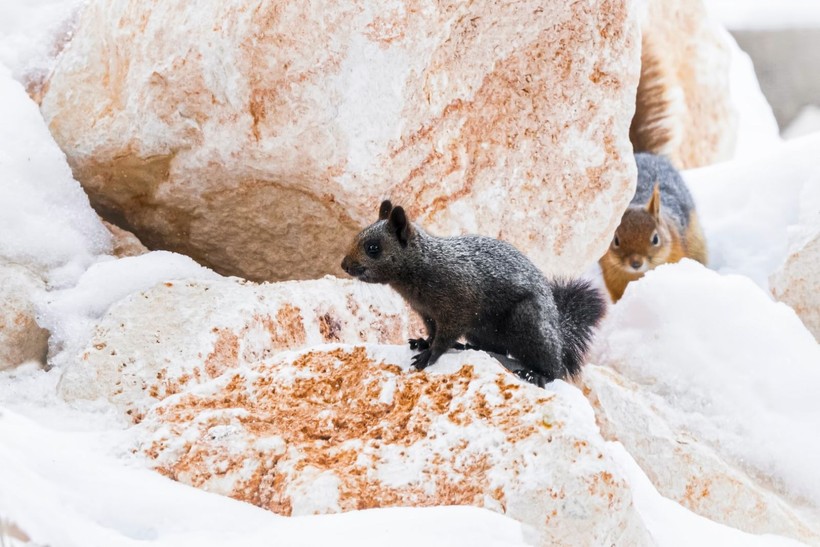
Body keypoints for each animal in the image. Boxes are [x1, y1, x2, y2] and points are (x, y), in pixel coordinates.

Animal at [340, 200, 604, 386]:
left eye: (373, 248)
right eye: (355, 237)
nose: (344, 265)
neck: (424, 266)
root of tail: (559, 331)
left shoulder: (458, 306)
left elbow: (444, 337)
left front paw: (429, 354)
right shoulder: (427, 314)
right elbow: (432, 332)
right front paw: (422, 342)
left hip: (529, 323)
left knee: (553, 367)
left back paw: (536, 375)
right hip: (481, 331)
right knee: (498, 350)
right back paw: (469, 348)